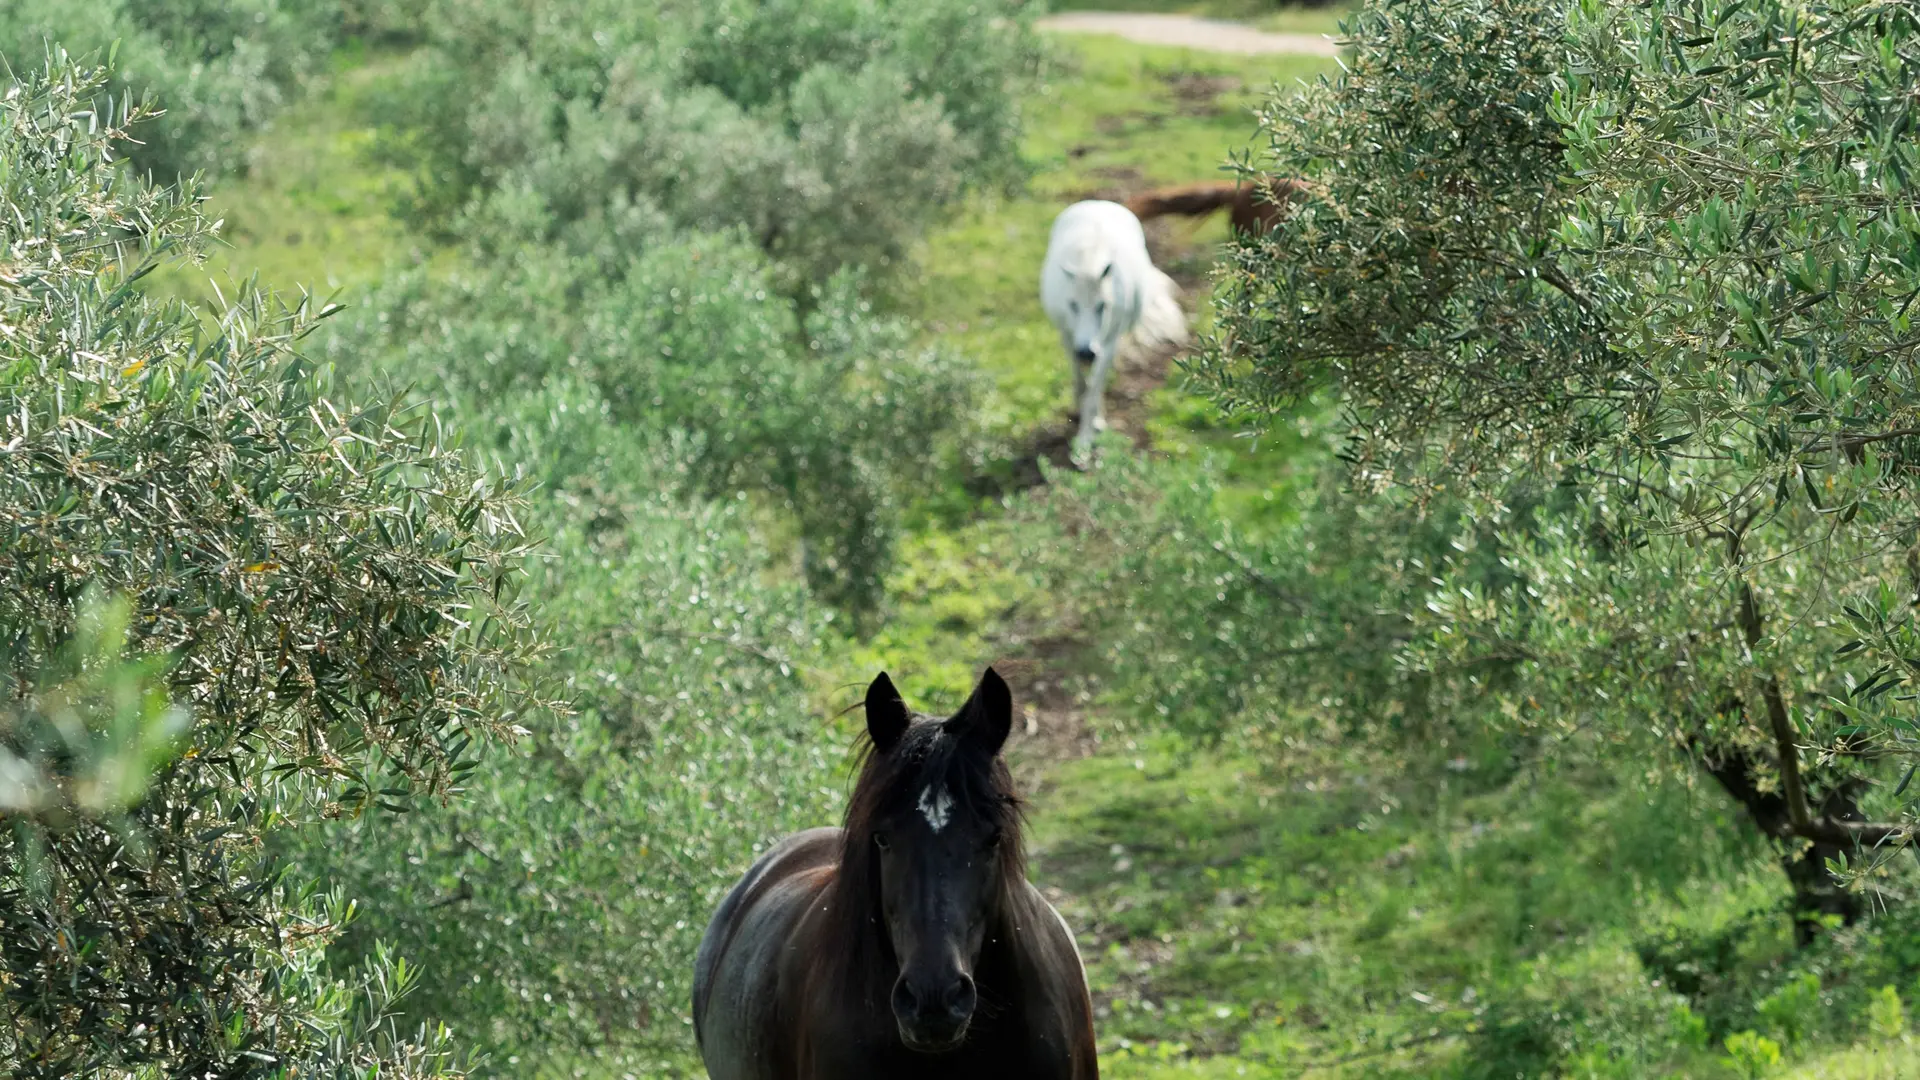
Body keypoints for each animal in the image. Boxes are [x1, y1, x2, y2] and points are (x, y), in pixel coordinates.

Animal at [1039, 200, 1188, 462]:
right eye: (1072, 305)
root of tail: (1098, 203)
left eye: (1102, 306)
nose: (1086, 352)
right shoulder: (1067, 338)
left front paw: (1085, 441)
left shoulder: (1108, 343)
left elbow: (1094, 388)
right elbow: (1081, 383)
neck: (1088, 258)